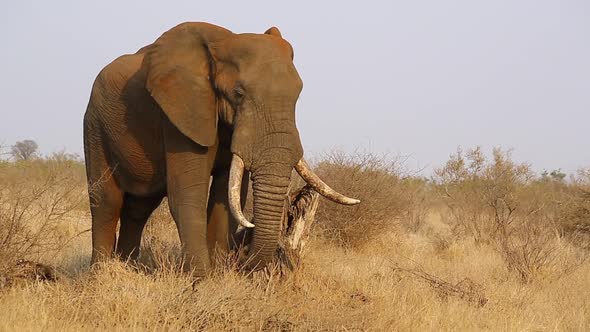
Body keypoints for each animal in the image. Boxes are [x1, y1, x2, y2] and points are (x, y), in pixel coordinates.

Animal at [84, 22, 360, 276]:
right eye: (238, 93)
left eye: (298, 95)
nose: (243, 258)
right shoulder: (180, 114)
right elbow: (188, 196)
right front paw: (201, 283)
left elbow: (226, 196)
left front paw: (217, 278)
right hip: (95, 126)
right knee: (106, 202)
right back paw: (101, 277)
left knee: (139, 208)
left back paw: (127, 269)